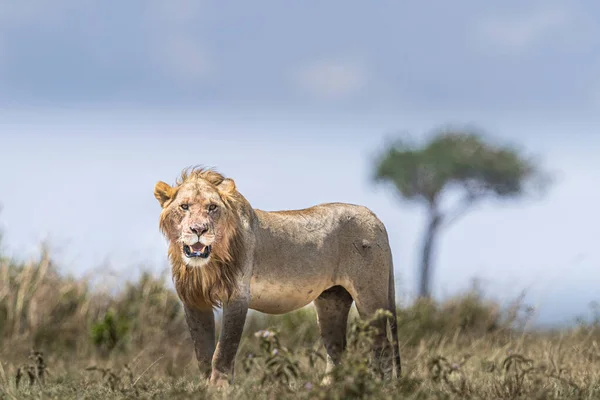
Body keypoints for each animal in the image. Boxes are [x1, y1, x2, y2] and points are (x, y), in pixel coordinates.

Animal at [152, 167, 400, 386]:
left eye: (212, 207)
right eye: (184, 207)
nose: (198, 230)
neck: (206, 264)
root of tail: (375, 217)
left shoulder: (237, 295)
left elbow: (223, 351)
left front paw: (219, 389)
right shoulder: (193, 300)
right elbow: (203, 353)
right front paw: (206, 388)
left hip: (370, 298)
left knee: (383, 347)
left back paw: (384, 388)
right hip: (332, 300)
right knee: (337, 351)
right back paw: (329, 388)